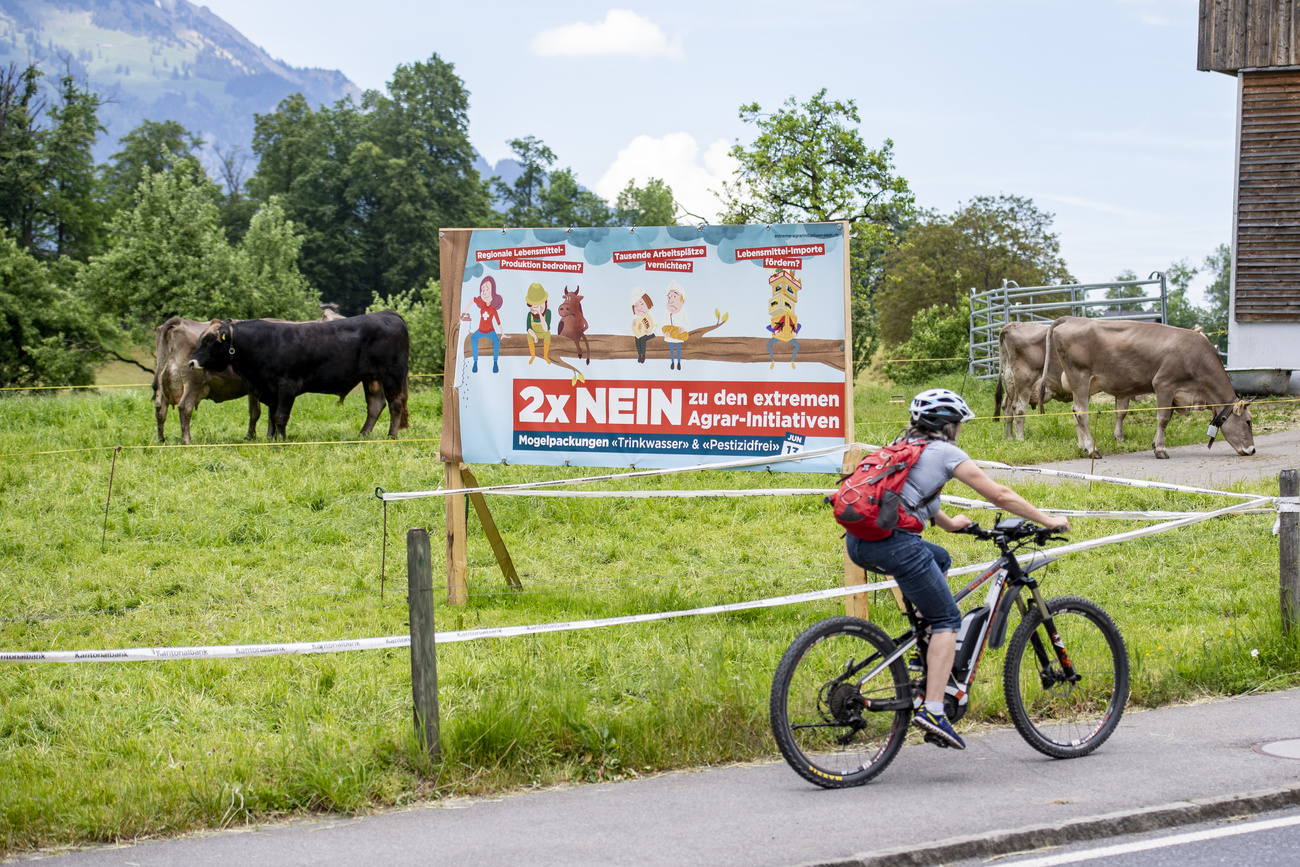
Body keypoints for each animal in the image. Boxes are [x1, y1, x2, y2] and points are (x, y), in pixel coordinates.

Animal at [152, 306, 348, 444]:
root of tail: (180, 322)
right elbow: (263, 413)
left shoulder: (258, 388)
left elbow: (258, 412)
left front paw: (257, 436)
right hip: (193, 384)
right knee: (184, 408)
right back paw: (187, 440)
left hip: (163, 384)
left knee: (160, 408)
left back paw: (161, 439)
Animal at [188, 310, 408, 441]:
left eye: (209, 340)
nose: (191, 363)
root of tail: (387, 313)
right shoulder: (270, 390)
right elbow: (272, 416)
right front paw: (272, 439)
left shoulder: (287, 387)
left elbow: (280, 416)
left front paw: (282, 440)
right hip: (371, 378)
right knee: (375, 405)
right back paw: (363, 434)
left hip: (391, 376)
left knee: (395, 404)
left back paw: (392, 435)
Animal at [993, 322, 1138, 441]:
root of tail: (1012, 325)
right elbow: (1122, 412)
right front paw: (1120, 438)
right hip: (1025, 381)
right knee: (1018, 408)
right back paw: (1020, 439)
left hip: (1011, 384)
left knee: (1007, 408)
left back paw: (1009, 437)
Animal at [1040, 315, 1253, 457]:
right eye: (1248, 422)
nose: (1252, 449)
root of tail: (1072, 318)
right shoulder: (1164, 384)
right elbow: (1163, 418)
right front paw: (1160, 449)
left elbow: (1166, 418)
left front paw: (1154, 444)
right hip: (1080, 377)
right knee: (1081, 412)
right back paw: (1092, 449)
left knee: (1075, 413)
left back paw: (1082, 446)